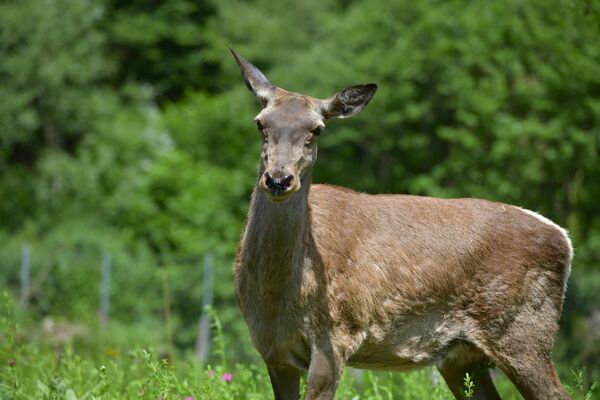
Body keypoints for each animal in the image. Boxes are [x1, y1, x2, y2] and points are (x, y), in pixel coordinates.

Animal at [230, 50, 572, 400]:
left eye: (318, 129)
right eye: (260, 123)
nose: (278, 179)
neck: (278, 294)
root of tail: (564, 238)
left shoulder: (335, 337)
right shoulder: (272, 351)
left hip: (524, 331)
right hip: (462, 357)